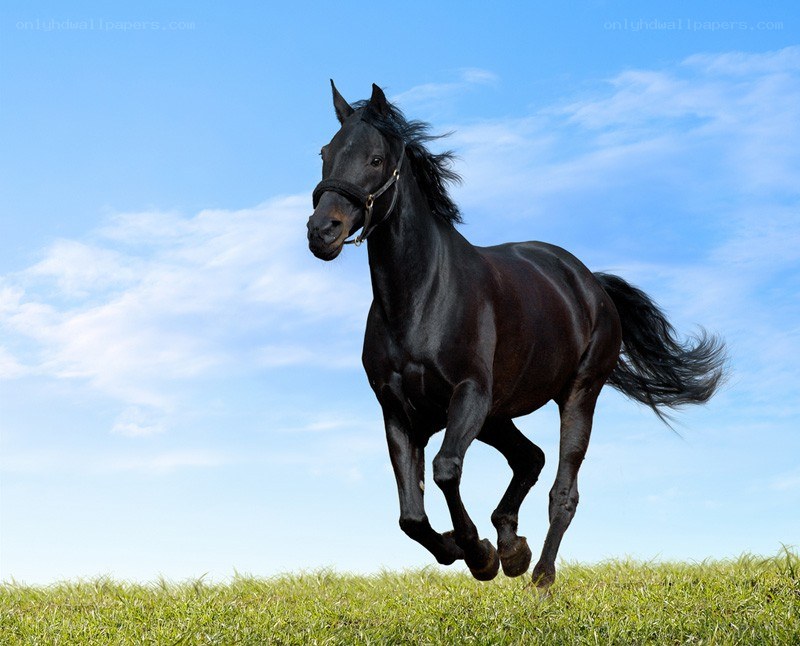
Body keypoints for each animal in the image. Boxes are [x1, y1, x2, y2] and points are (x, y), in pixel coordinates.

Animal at [306, 82, 726, 589]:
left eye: (375, 159)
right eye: (325, 153)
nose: (321, 231)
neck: (420, 298)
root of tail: (590, 283)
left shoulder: (468, 394)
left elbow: (445, 470)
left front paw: (478, 554)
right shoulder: (398, 411)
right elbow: (411, 515)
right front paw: (470, 549)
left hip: (576, 395)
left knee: (562, 491)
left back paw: (539, 576)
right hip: (497, 415)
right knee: (530, 459)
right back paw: (513, 547)